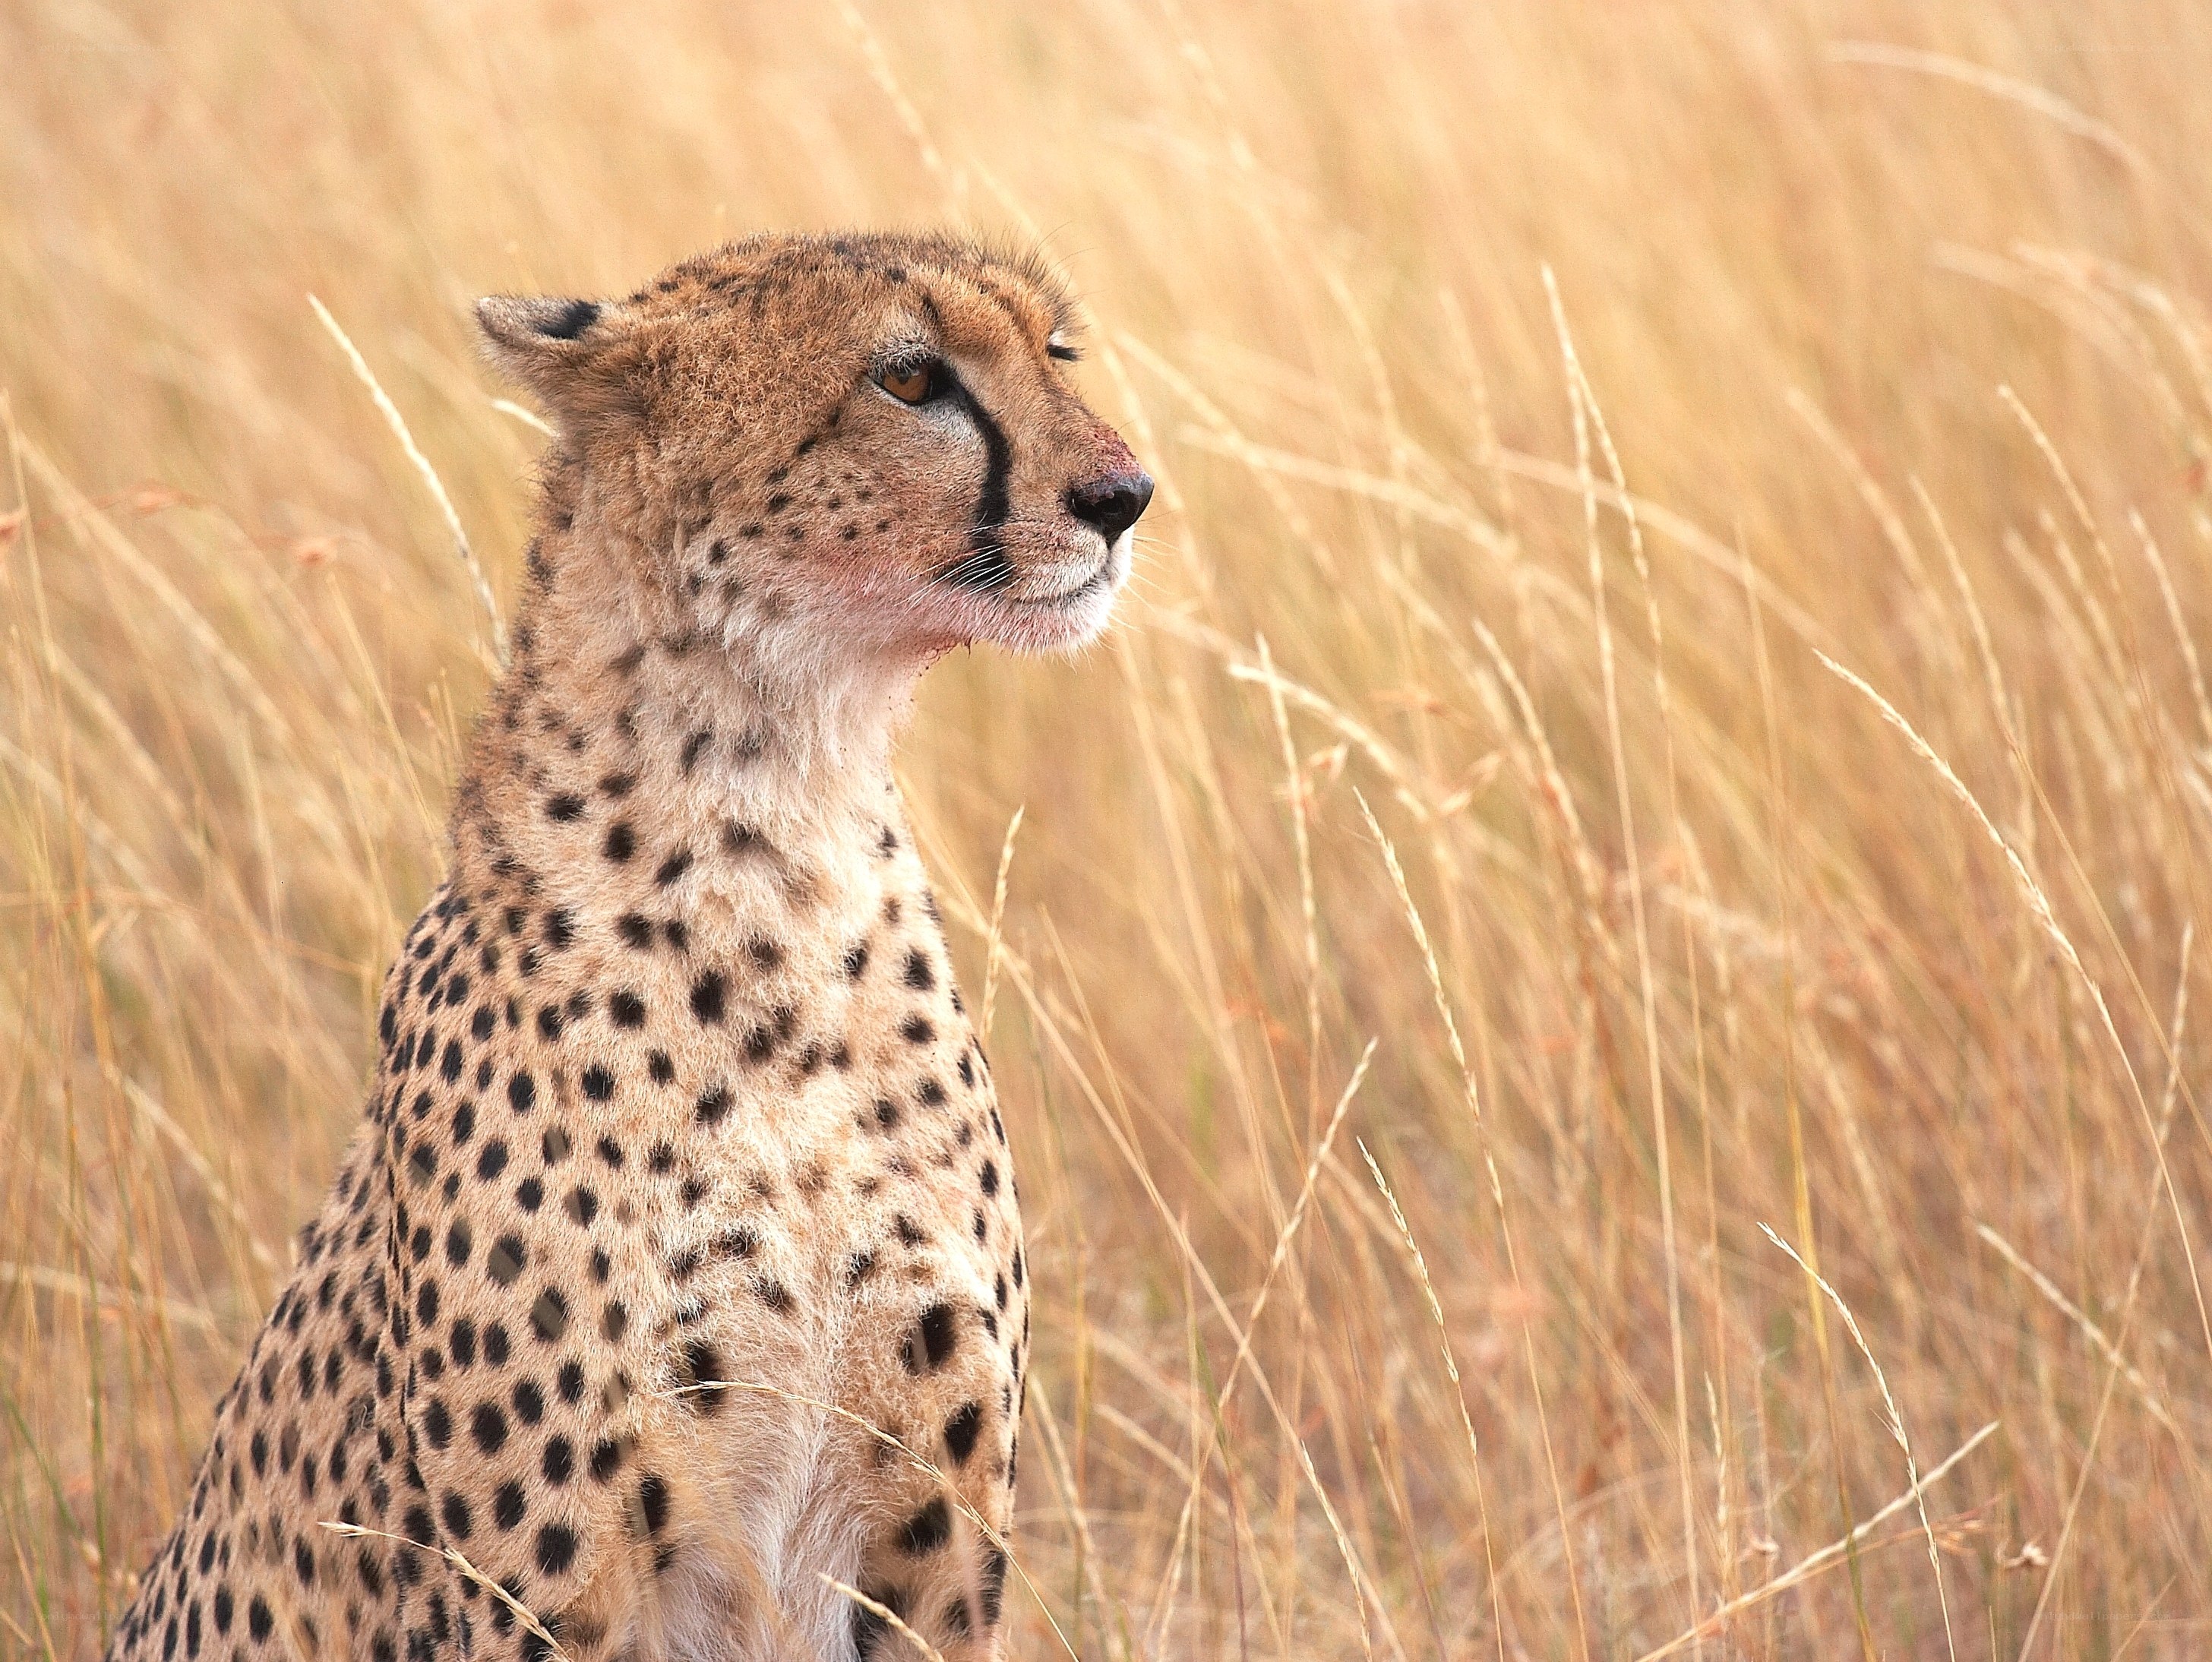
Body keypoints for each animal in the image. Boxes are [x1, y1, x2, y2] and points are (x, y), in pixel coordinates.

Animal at [104, 230, 1151, 1662]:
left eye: (1057, 350)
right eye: (910, 377)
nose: (1126, 494)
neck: (777, 833)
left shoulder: (932, 1568)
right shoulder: (540, 1596)